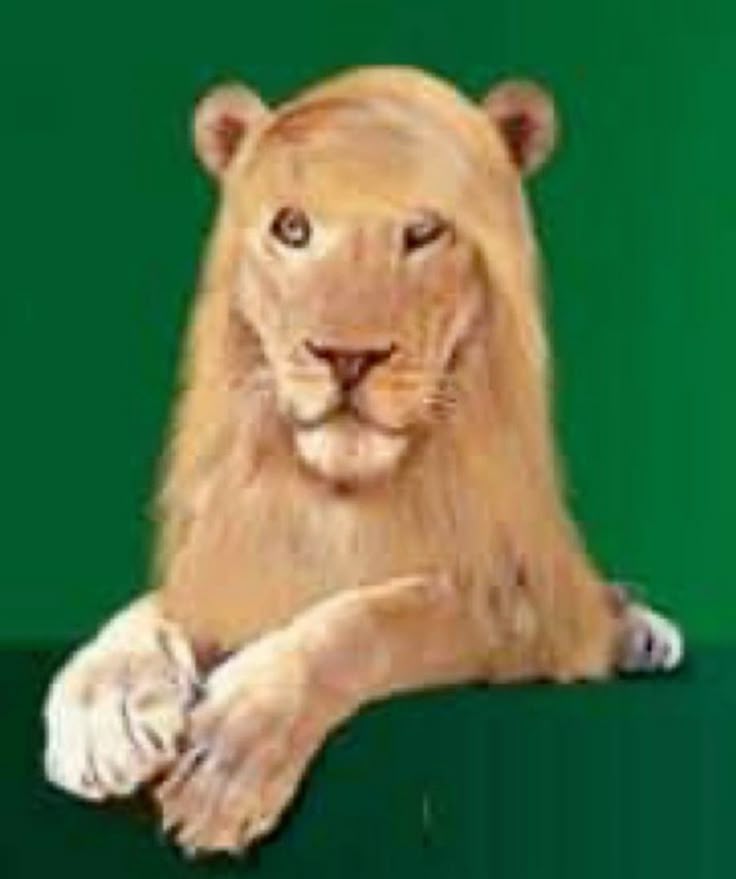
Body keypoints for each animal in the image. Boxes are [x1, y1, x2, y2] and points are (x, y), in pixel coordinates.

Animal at [43, 65, 683, 855]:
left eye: (424, 229)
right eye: (292, 227)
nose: (348, 356)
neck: (340, 492)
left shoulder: (501, 589)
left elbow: (375, 616)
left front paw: (230, 752)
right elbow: (150, 610)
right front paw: (104, 711)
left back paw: (641, 631)